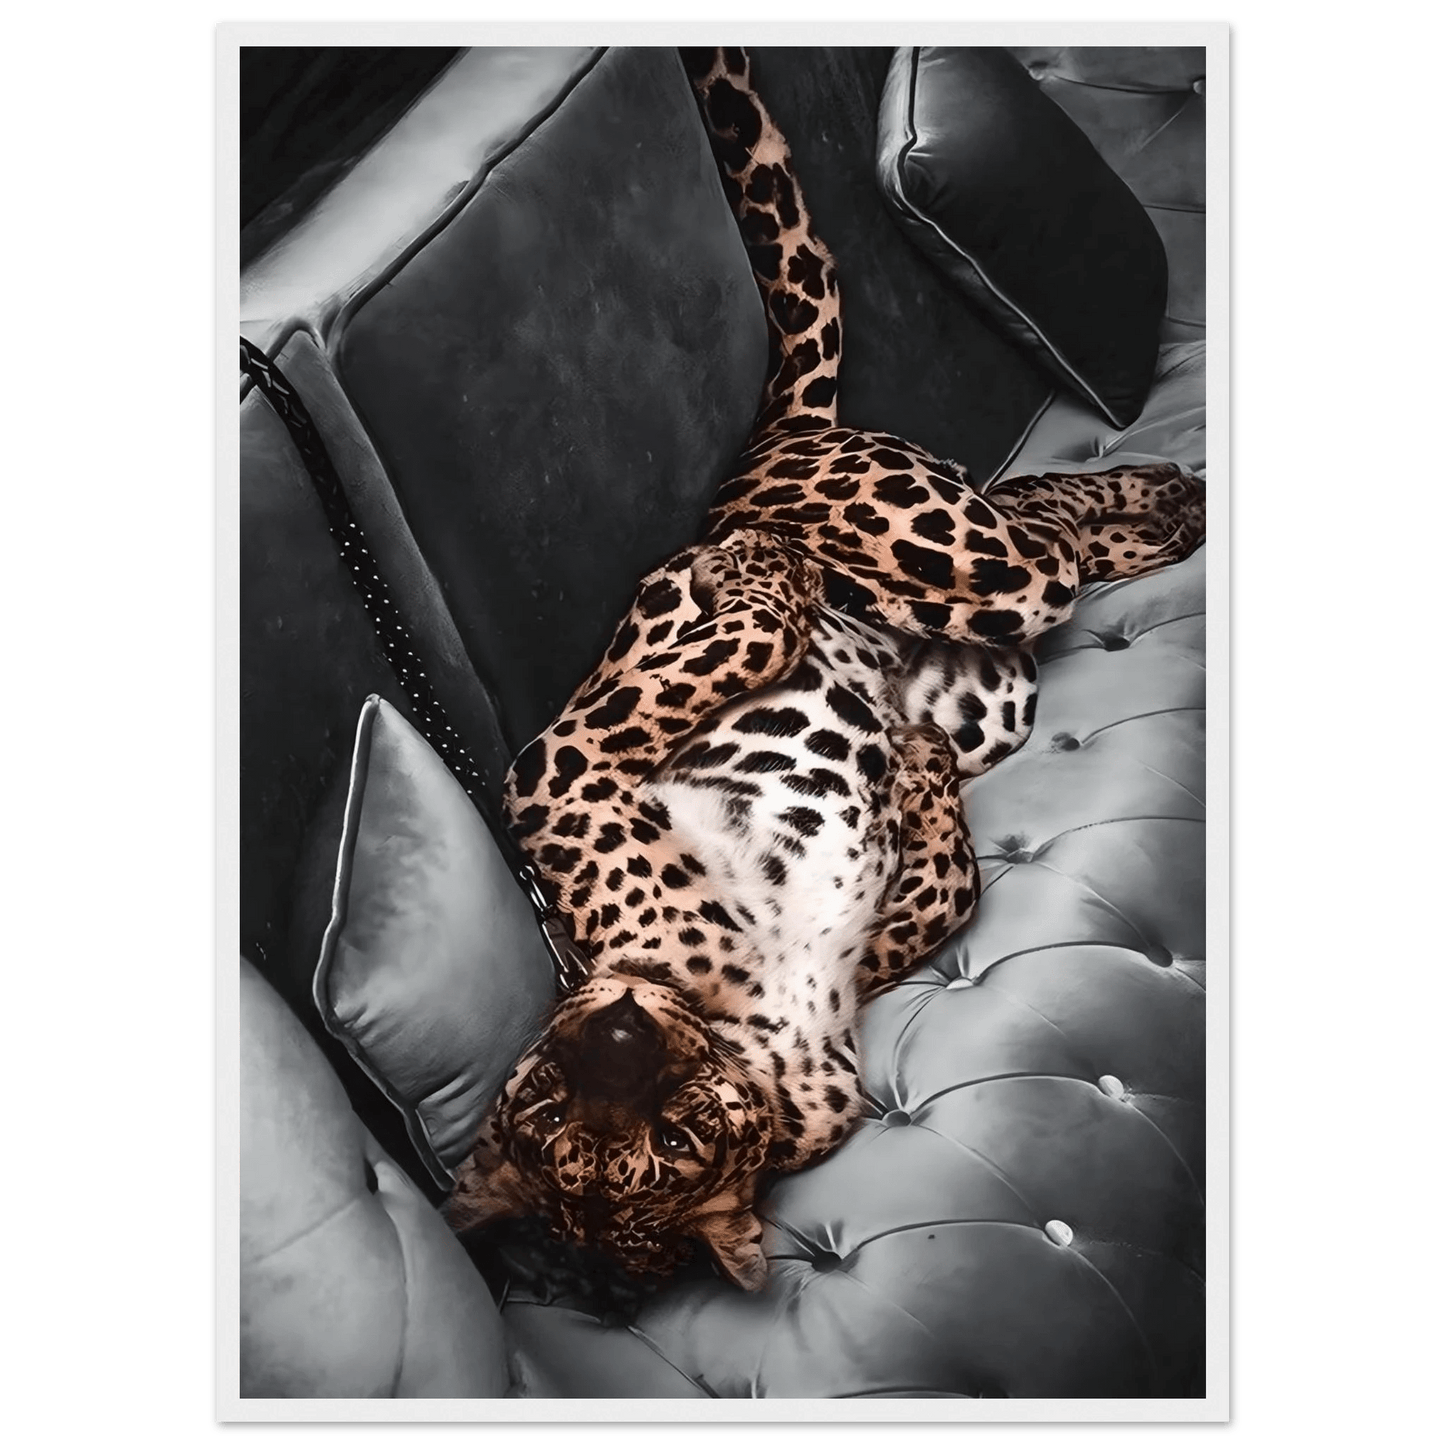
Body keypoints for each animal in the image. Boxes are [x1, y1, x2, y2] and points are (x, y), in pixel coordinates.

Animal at [447, 46, 1205, 1292]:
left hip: (944, 553)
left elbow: (720, 652)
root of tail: (767, 447)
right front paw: (914, 779)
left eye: (552, 1105)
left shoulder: (557, 771)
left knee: (1035, 517)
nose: (612, 1025)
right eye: (577, 1127)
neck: (746, 1031)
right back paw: (1164, 511)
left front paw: (759, 587)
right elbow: (945, 885)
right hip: (982, 657)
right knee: (1049, 529)